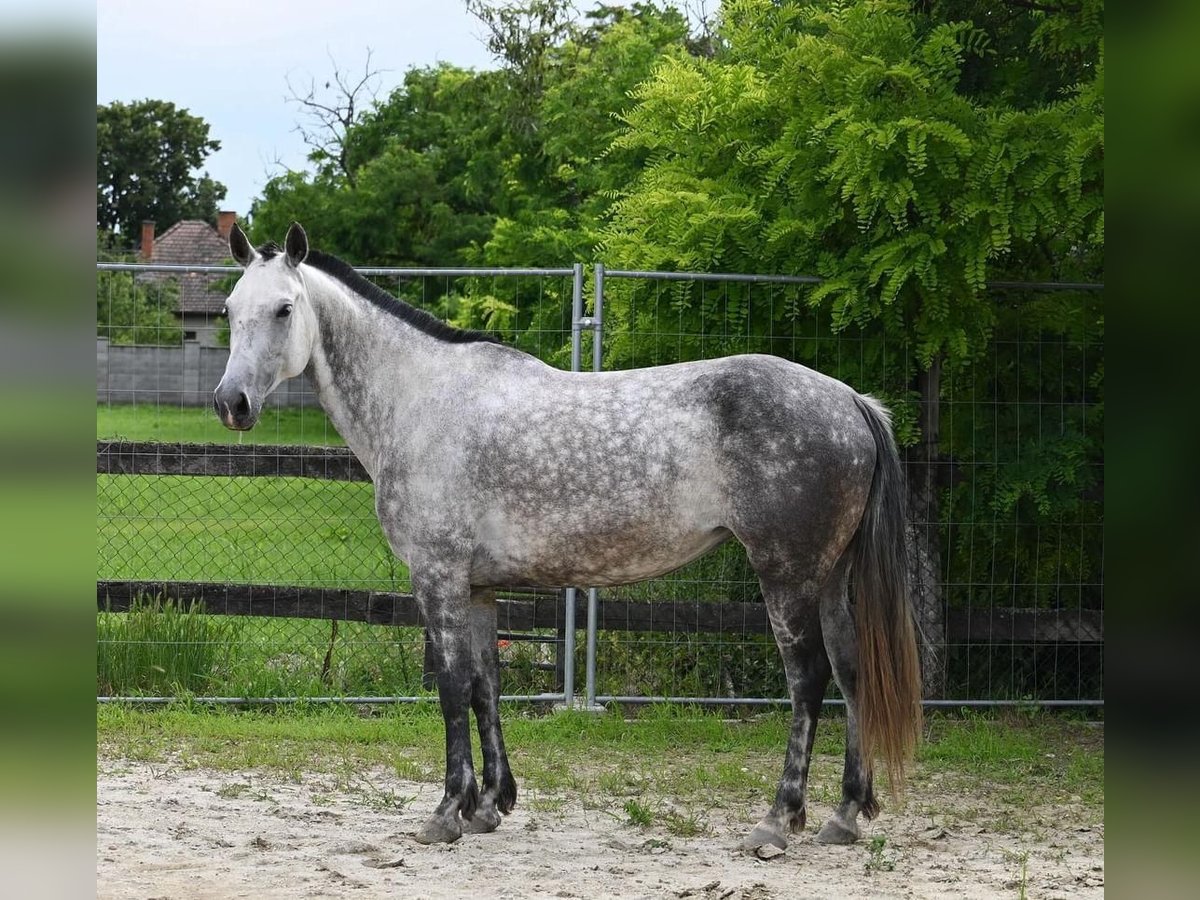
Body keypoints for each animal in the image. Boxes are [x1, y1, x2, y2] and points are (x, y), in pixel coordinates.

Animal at [216, 224, 921, 854]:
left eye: (284, 309)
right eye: (229, 310)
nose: (231, 403)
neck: (421, 400)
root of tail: (850, 400)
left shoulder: (438, 580)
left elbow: (450, 688)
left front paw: (446, 812)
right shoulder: (478, 589)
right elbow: (485, 686)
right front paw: (488, 806)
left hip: (786, 576)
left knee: (809, 679)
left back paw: (777, 822)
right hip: (829, 578)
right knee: (852, 671)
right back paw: (844, 816)